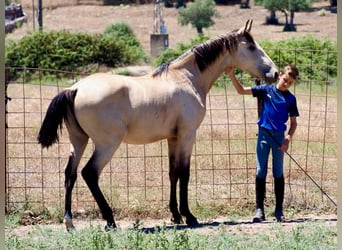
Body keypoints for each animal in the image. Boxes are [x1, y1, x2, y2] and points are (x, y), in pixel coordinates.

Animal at [37, 18, 278, 231]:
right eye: (251, 46)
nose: (274, 73)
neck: (187, 77)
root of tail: (75, 88)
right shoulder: (187, 135)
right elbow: (184, 173)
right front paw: (189, 216)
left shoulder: (173, 138)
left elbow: (173, 173)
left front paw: (175, 215)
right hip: (107, 145)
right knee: (89, 173)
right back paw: (110, 220)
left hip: (79, 141)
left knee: (70, 174)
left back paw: (69, 222)